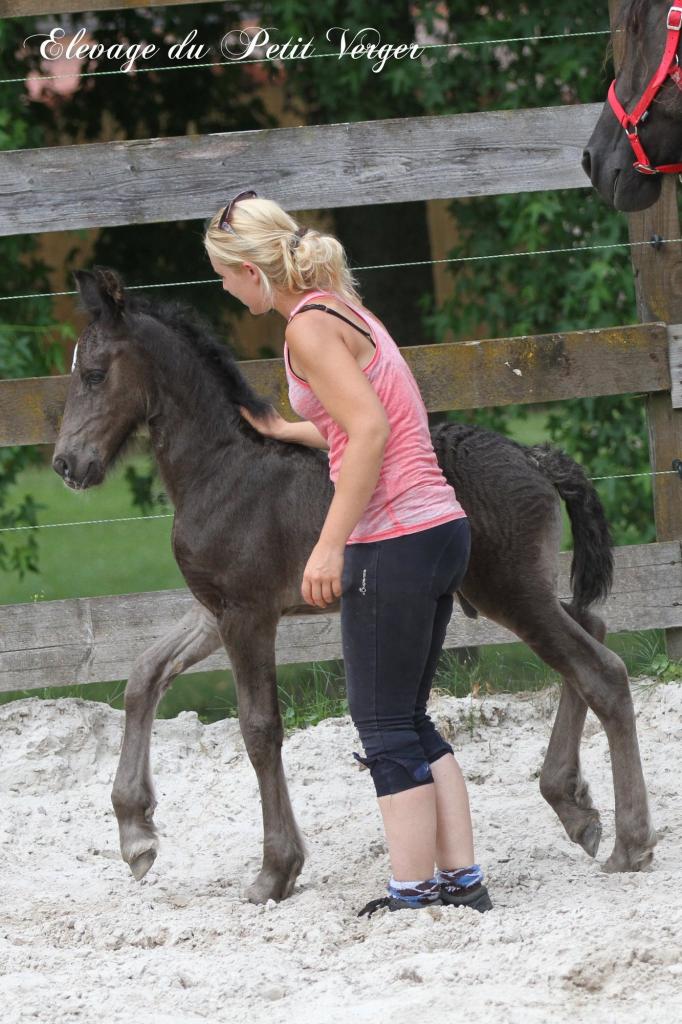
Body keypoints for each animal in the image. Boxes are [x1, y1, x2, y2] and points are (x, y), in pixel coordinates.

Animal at [50, 268, 655, 901]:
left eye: (94, 374)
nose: (67, 464)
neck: (222, 471)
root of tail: (536, 459)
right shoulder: (214, 609)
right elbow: (144, 675)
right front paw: (135, 832)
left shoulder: (246, 614)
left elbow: (259, 729)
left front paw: (275, 870)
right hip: (517, 588)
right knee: (592, 629)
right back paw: (575, 805)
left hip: (511, 592)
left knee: (601, 672)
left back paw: (629, 843)